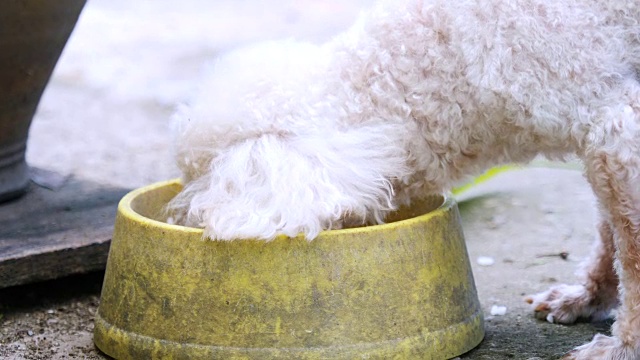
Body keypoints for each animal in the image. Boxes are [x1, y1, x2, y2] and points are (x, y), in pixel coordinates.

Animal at [169, 0, 640, 358]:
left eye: (200, 177)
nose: (182, 220)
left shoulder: (620, 131)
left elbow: (631, 251)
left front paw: (623, 346)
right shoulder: (602, 143)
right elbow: (609, 231)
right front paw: (591, 298)